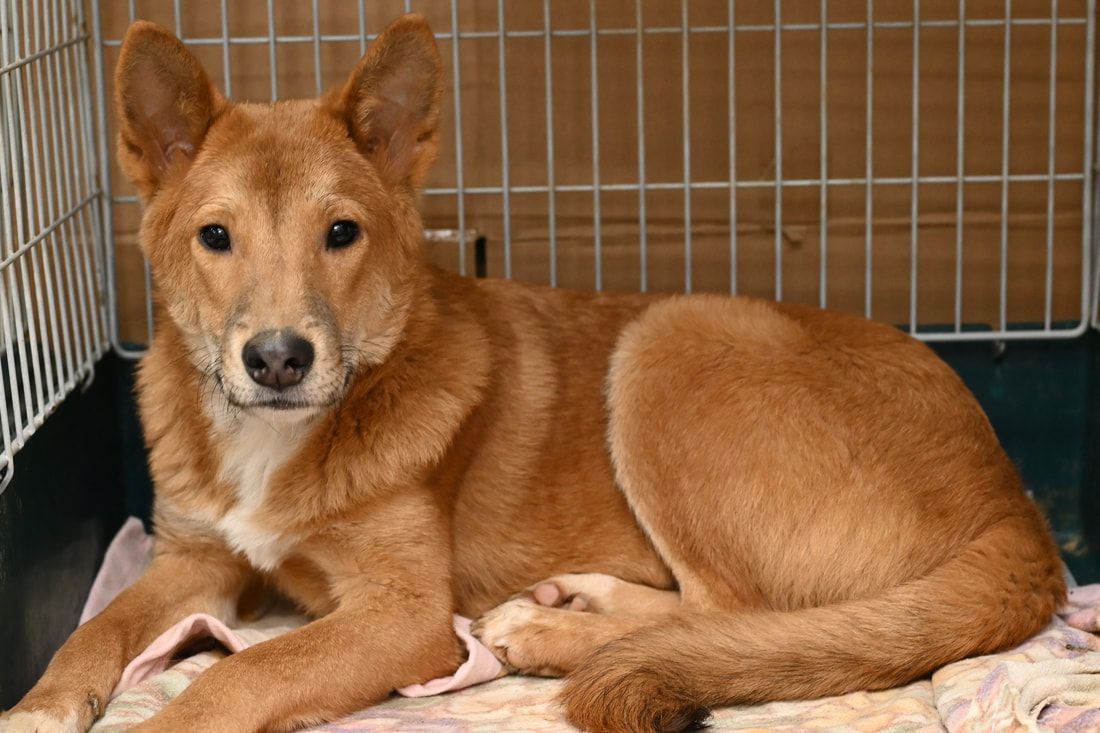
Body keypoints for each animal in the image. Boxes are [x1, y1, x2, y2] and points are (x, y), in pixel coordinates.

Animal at [0, 11, 1064, 730]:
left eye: (341, 232)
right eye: (215, 237)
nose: (276, 360)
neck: (276, 437)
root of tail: (1015, 506)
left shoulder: (403, 615)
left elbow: (240, 671)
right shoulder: (193, 562)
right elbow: (93, 630)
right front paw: (42, 702)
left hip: (674, 338)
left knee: (736, 616)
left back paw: (548, 635)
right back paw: (572, 600)